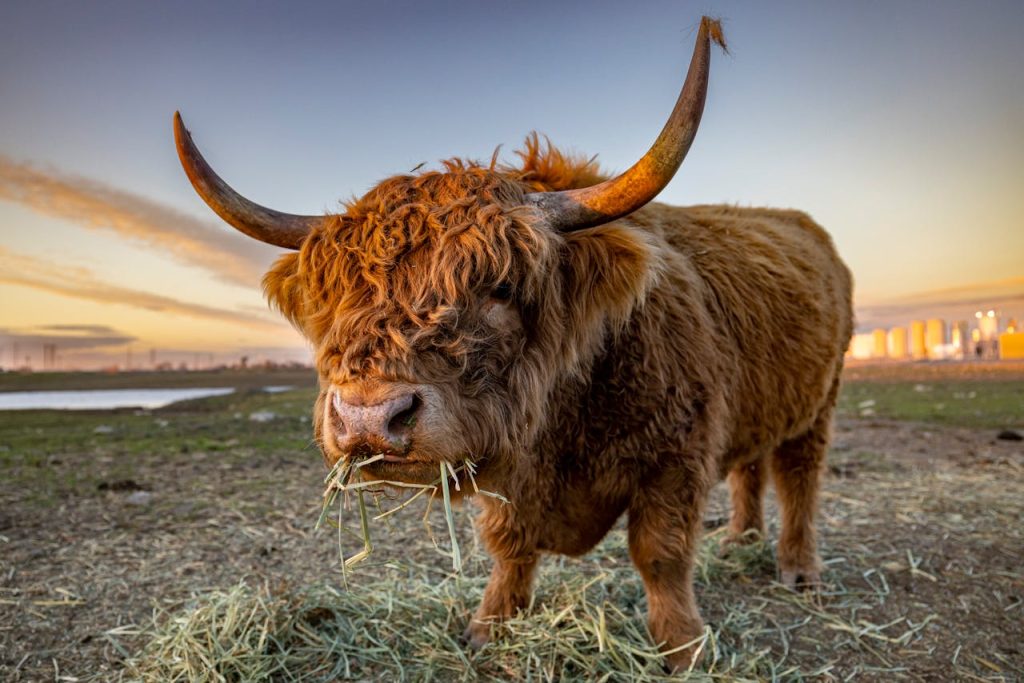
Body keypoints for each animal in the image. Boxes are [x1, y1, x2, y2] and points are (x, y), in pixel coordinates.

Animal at [172, 17, 853, 670]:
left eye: (499, 286)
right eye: (338, 295)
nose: (368, 418)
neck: (565, 410)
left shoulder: (676, 458)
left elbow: (660, 555)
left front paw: (683, 649)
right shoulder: (512, 478)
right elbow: (510, 546)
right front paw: (489, 626)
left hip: (820, 404)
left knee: (798, 478)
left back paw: (797, 568)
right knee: (749, 469)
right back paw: (740, 539)